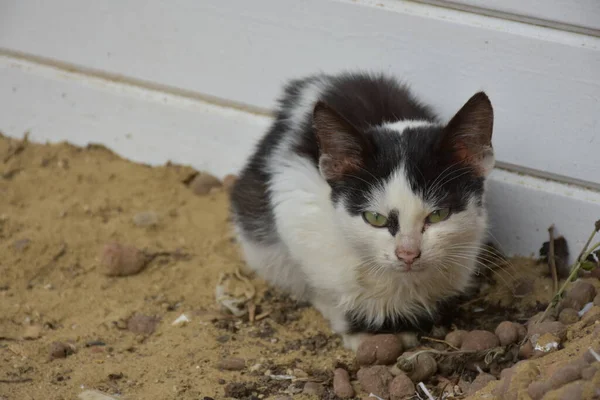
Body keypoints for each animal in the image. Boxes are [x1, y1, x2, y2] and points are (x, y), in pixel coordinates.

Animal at [227, 72, 494, 350]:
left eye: (438, 214)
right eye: (375, 218)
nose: (408, 254)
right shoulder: (294, 195)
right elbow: (328, 286)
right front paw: (361, 331)